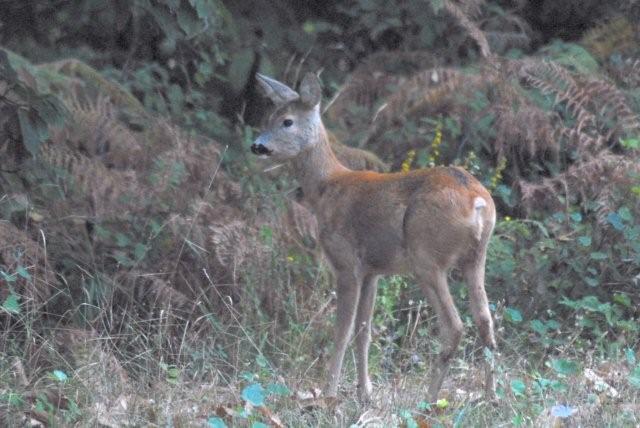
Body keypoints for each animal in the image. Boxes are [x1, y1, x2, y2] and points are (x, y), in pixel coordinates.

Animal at [252, 72, 498, 402]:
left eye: (287, 121)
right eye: (268, 117)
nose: (257, 145)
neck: (327, 188)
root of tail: (478, 202)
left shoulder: (346, 263)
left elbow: (342, 331)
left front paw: (329, 393)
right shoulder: (373, 271)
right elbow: (364, 331)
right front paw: (364, 392)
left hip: (426, 256)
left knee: (455, 325)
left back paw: (429, 399)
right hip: (476, 256)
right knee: (485, 320)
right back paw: (491, 396)